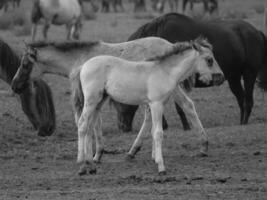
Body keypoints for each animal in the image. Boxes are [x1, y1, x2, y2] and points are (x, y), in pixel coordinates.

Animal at [116, 12, 267, 131]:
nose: (122, 127)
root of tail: (255, 31)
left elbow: (180, 107)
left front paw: (186, 127)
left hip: (249, 74)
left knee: (248, 101)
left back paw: (244, 123)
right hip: (234, 77)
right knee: (241, 100)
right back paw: (241, 123)